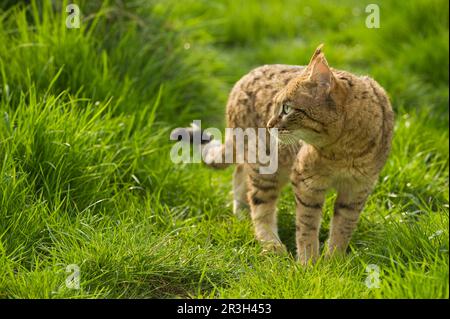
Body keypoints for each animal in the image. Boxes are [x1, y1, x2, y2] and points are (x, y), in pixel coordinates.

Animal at [176, 45, 394, 264]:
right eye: (276, 106)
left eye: (287, 109)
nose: (269, 125)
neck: (344, 151)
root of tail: (240, 82)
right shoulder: (306, 182)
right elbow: (307, 226)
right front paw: (309, 264)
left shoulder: (358, 188)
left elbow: (343, 227)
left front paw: (334, 261)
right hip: (266, 165)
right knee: (259, 204)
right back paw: (271, 244)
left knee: (240, 173)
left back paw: (242, 215)